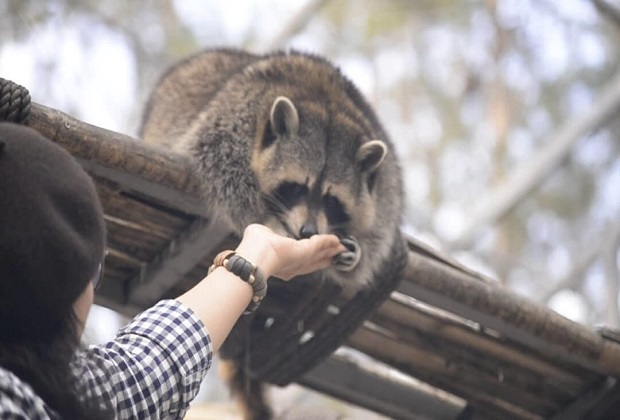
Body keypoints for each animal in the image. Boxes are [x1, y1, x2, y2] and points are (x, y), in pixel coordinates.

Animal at [138, 47, 404, 418]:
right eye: (297, 187)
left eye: (331, 200)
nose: (307, 231)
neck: (327, 103)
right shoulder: (234, 118)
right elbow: (219, 165)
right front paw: (270, 221)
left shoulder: (386, 181)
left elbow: (379, 230)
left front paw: (356, 254)